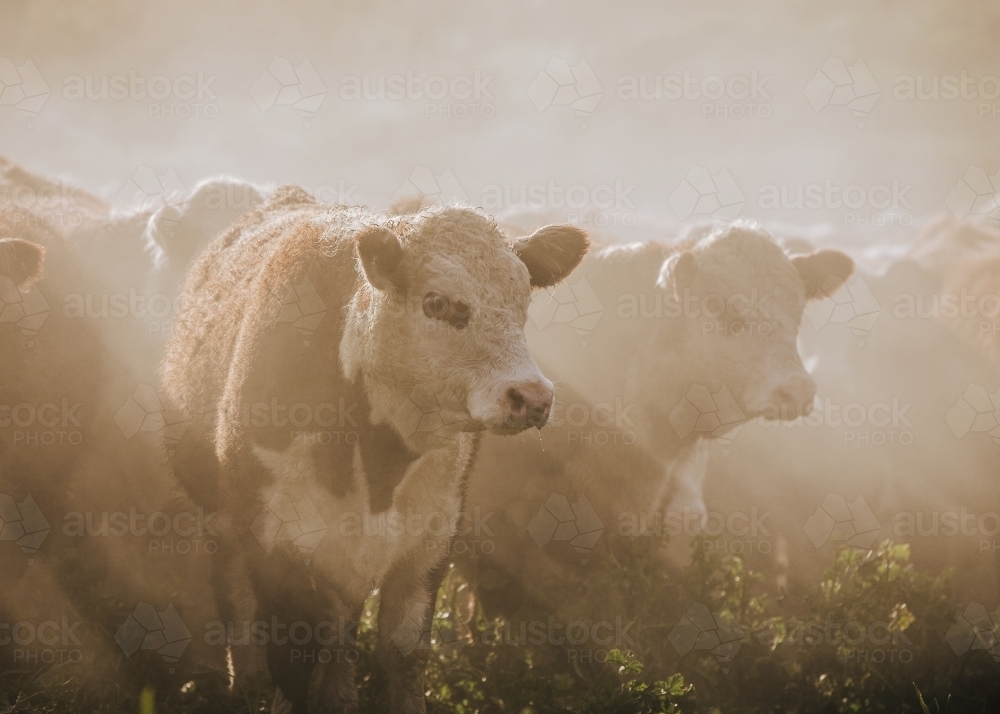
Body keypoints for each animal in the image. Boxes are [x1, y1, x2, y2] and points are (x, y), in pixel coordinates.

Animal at [160, 186, 588, 708]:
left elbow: (403, 653)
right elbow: (291, 663)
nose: (532, 397)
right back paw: (246, 684)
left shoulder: (429, 541)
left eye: (522, 301)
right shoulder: (277, 547)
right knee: (237, 606)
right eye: (437, 302)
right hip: (220, 521)